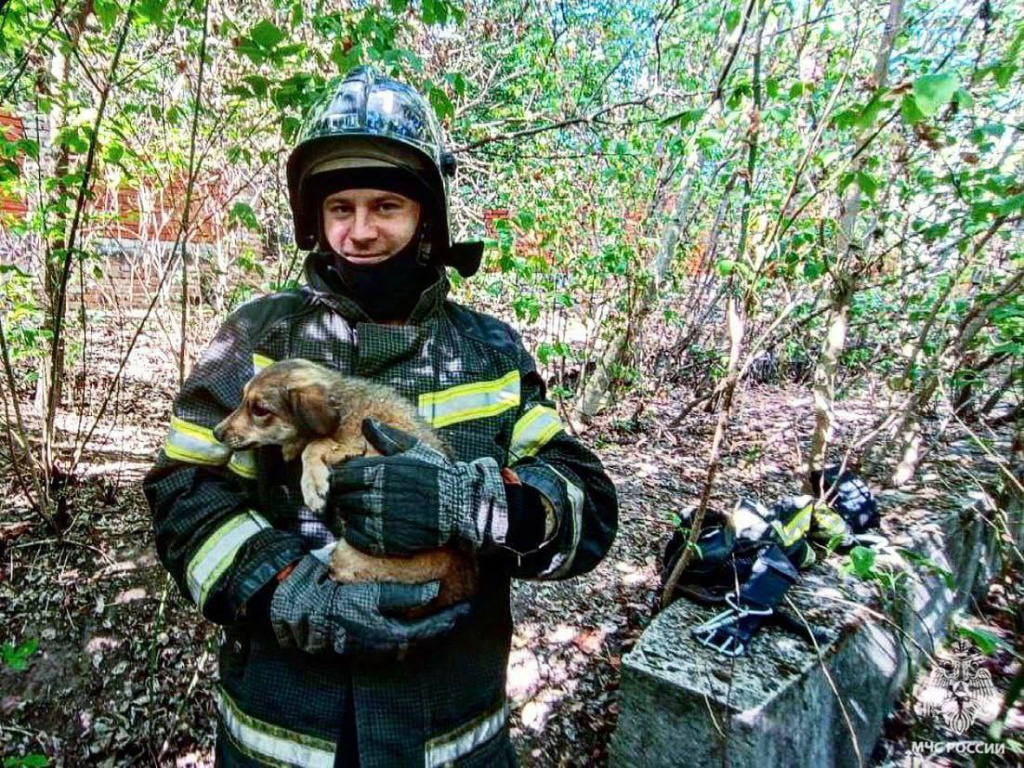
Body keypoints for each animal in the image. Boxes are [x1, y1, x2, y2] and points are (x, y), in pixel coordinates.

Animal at [214, 360, 477, 606]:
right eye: (242, 399)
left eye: (259, 409)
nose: (216, 433)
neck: (344, 409)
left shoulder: (369, 447)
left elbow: (314, 445)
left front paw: (313, 485)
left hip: (348, 555)